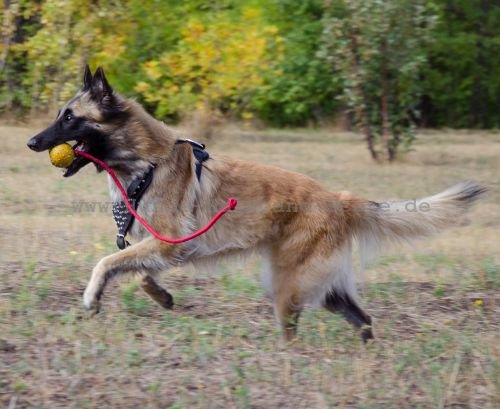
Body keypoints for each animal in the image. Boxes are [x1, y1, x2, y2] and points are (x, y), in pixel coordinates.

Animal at [26, 66, 484, 342]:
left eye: (70, 117)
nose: (31, 142)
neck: (145, 161)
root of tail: (338, 199)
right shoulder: (158, 246)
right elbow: (137, 272)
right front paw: (162, 296)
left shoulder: (168, 242)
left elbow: (105, 262)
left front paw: (92, 297)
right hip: (320, 288)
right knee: (363, 319)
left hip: (288, 287)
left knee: (296, 329)